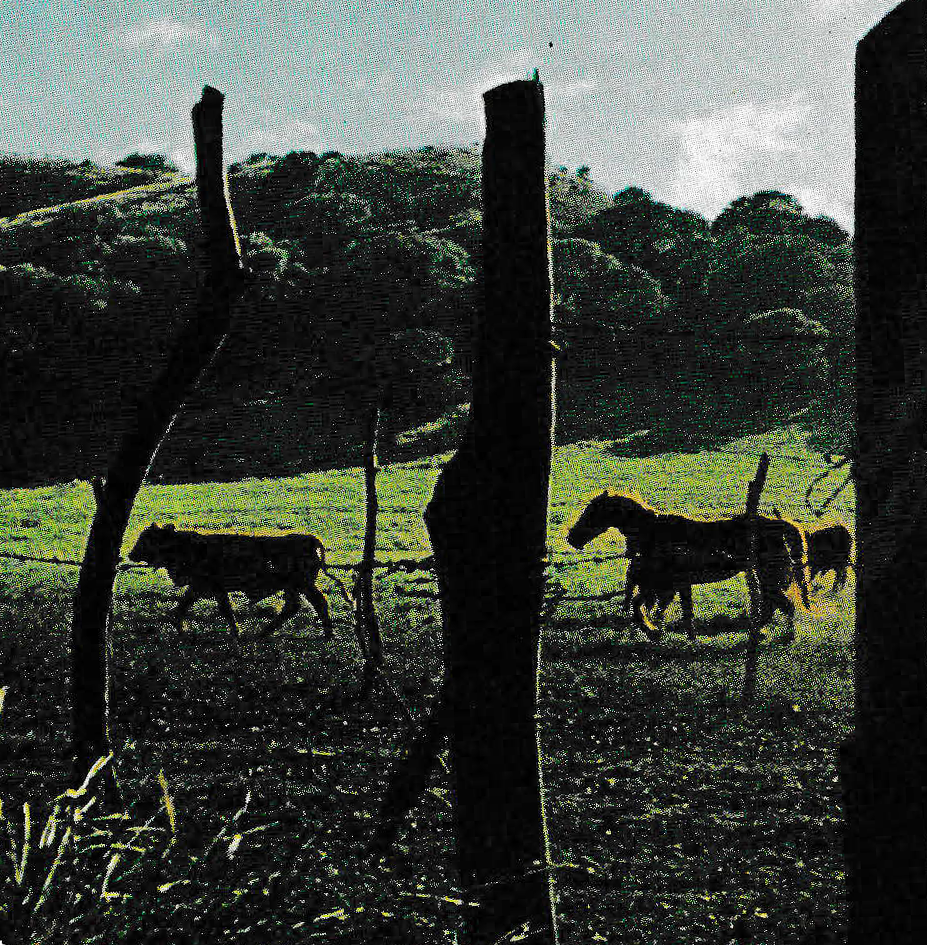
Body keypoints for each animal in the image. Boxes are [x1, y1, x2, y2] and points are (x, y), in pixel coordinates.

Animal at [560, 494, 808, 640]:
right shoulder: (669, 585)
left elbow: (644, 608)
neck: (653, 531)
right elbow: (666, 609)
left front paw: (653, 631)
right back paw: (761, 632)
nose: (572, 538)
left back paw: (782, 636)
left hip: (769, 576)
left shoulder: (665, 583)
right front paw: (665, 632)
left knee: (782, 605)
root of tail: (779, 525)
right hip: (765, 576)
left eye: (592, 511)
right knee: (773, 605)